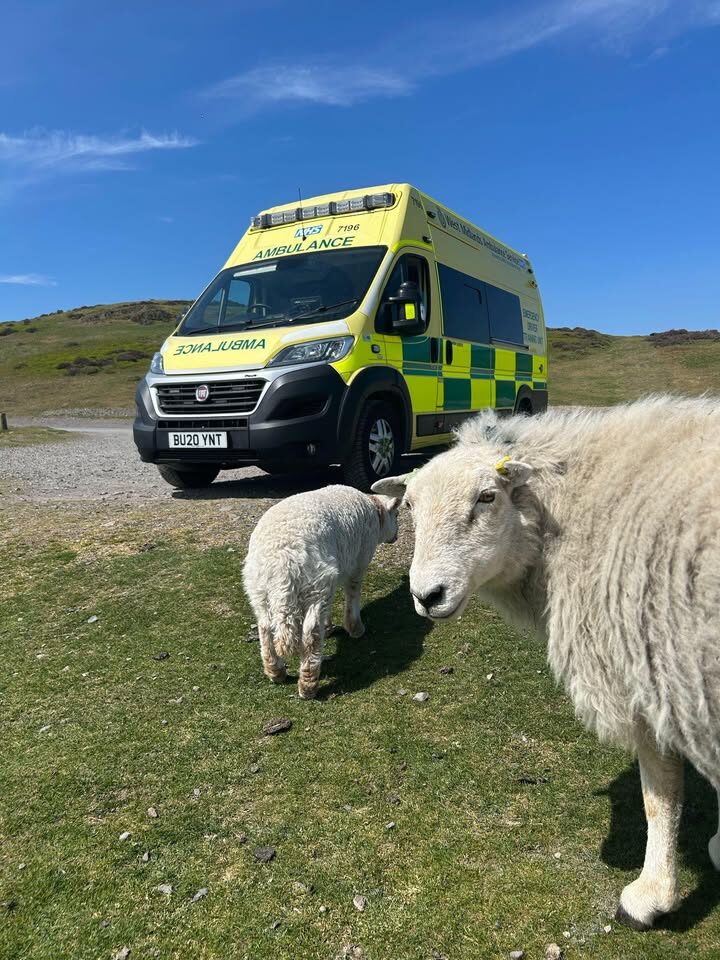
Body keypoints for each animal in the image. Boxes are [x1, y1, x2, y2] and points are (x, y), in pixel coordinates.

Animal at [243, 484, 399, 699]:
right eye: (397, 514)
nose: (396, 536)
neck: (376, 512)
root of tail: (283, 563)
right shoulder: (357, 563)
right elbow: (353, 594)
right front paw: (355, 629)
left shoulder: (333, 577)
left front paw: (330, 626)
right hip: (315, 581)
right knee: (311, 633)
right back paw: (308, 685)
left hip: (259, 587)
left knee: (265, 627)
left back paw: (276, 672)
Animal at [373, 395, 720, 931]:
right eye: (409, 507)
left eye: (487, 498)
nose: (426, 595)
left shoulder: (643, 673)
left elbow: (658, 794)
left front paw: (651, 895)